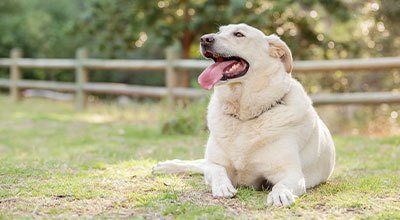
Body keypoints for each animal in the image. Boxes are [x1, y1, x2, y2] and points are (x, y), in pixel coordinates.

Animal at [153, 23, 334, 206]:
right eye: (219, 31)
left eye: (239, 34)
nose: (204, 39)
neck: (244, 117)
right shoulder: (216, 163)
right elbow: (217, 170)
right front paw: (222, 187)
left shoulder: (291, 173)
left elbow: (281, 184)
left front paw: (280, 194)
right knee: (200, 163)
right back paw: (166, 165)